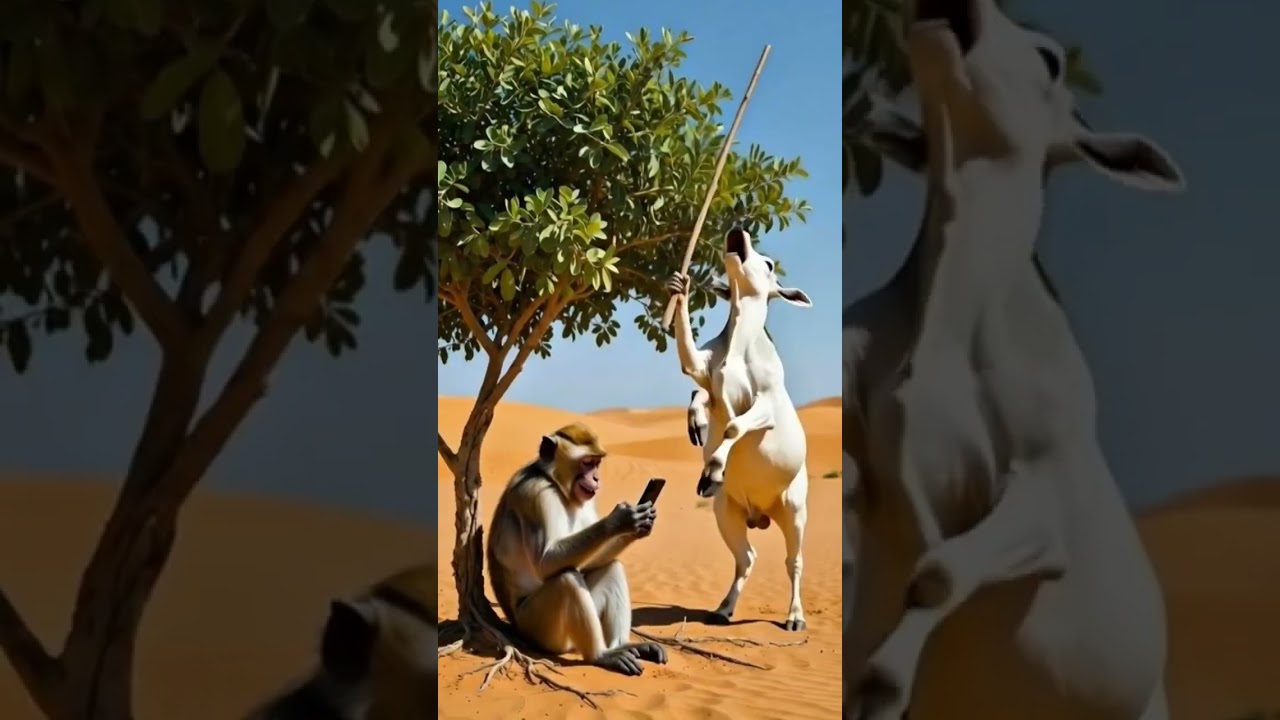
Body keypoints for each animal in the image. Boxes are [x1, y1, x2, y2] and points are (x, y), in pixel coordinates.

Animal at [486, 423, 668, 676]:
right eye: (587, 462)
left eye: (597, 463)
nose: (596, 478)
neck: (554, 482)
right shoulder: (536, 494)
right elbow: (545, 563)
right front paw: (620, 520)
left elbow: (590, 562)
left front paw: (639, 526)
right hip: (539, 630)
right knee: (567, 580)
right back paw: (601, 655)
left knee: (611, 567)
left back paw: (623, 646)